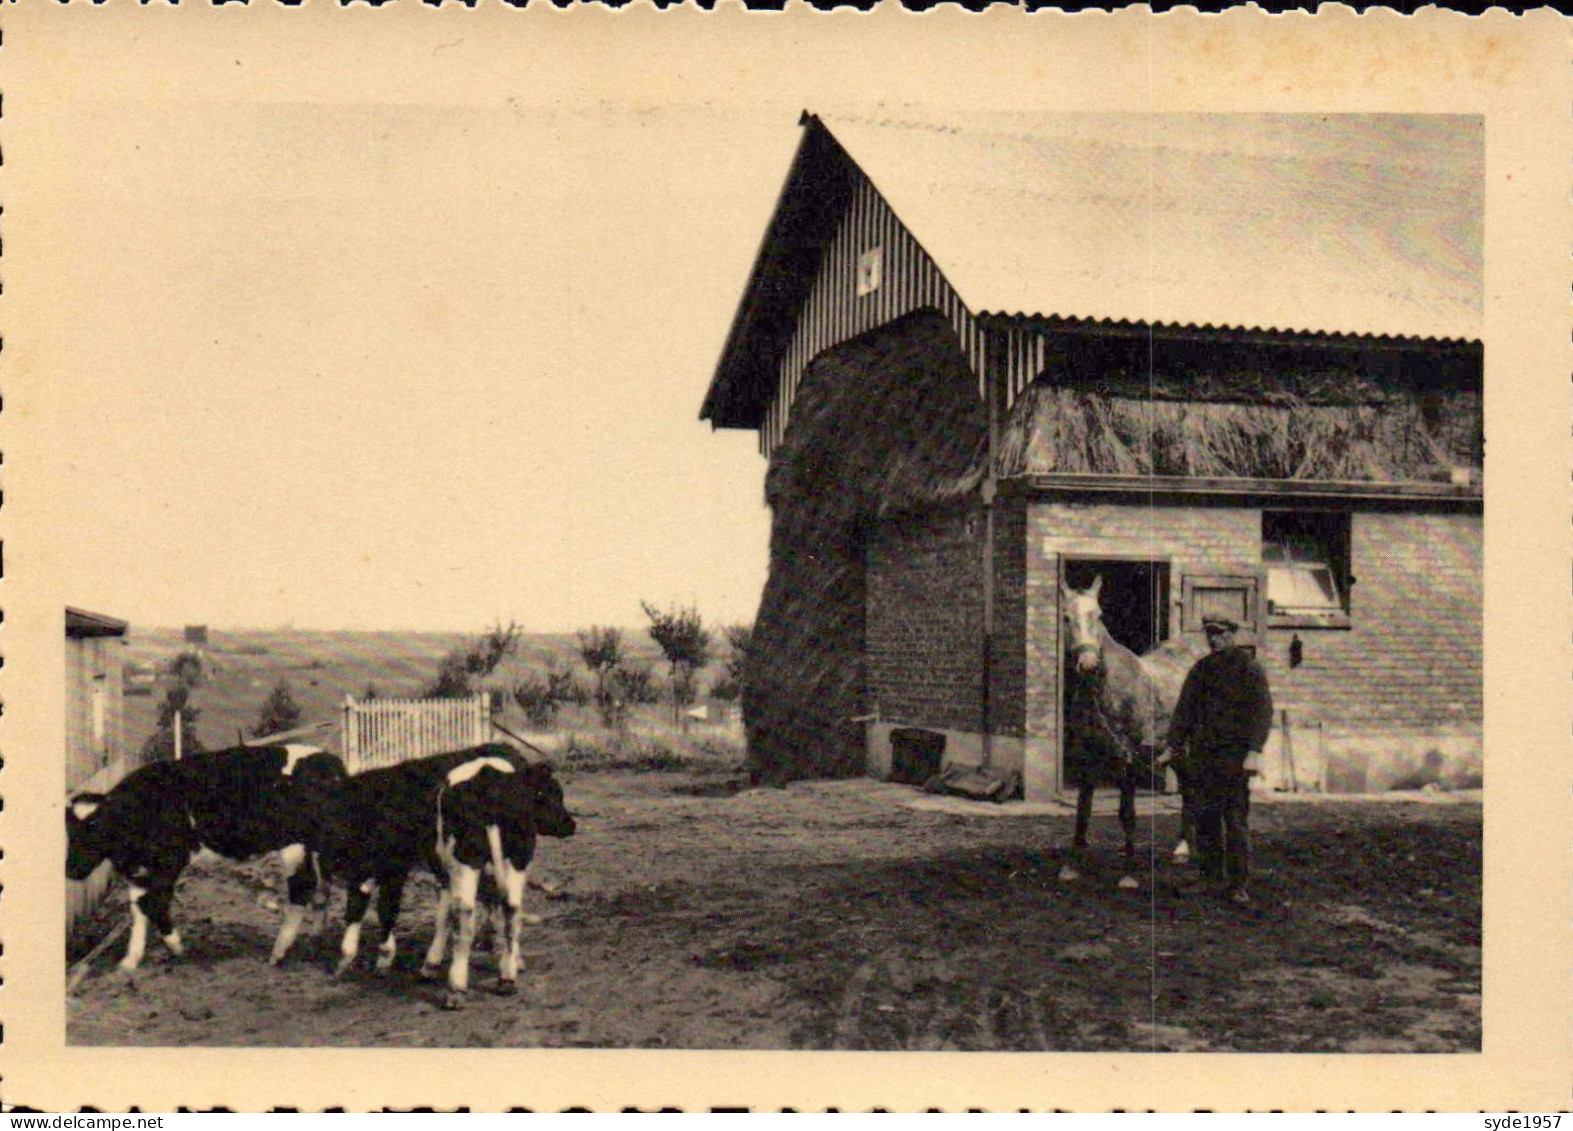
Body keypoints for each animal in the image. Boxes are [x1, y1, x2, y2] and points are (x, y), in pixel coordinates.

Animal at [66, 742, 346, 975]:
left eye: (96, 826)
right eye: (68, 830)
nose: (70, 870)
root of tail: (329, 761)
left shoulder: (170, 861)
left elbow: (154, 904)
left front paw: (175, 947)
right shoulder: (138, 869)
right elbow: (137, 909)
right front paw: (130, 960)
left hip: (294, 845)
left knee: (303, 888)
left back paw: (279, 952)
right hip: (320, 847)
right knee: (323, 888)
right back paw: (314, 941)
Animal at [292, 748, 575, 1013]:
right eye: (545, 794)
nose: (570, 824)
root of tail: (488, 775)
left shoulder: (393, 870)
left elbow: (389, 911)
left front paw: (384, 960)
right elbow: (451, 914)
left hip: (466, 863)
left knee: (465, 916)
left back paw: (457, 989)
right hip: (512, 860)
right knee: (511, 910)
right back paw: (506, 978)